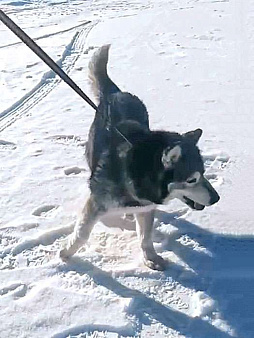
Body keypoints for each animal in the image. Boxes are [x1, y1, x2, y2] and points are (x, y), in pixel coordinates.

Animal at [60, 45, 220, 270]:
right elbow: (82, 232)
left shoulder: (146, 207)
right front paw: (66, 253)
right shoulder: (97, 202)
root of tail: (116, 93)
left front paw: (150, 257)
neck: (139, 175)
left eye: (204, 173)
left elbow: (145, 236)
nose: (216, 198)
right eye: (191, 179)